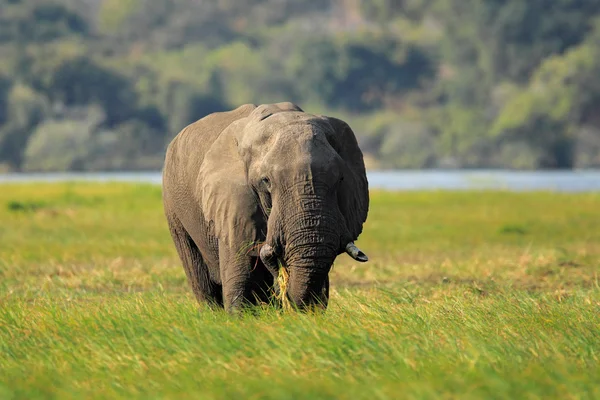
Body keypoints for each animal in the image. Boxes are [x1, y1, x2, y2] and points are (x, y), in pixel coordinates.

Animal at [164, 101, 370, 310]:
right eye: (266, 181)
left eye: (341, 179)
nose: (283, 290)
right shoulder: (233, 205)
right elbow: (240, 288)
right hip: (173, 209)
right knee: (201, 280)